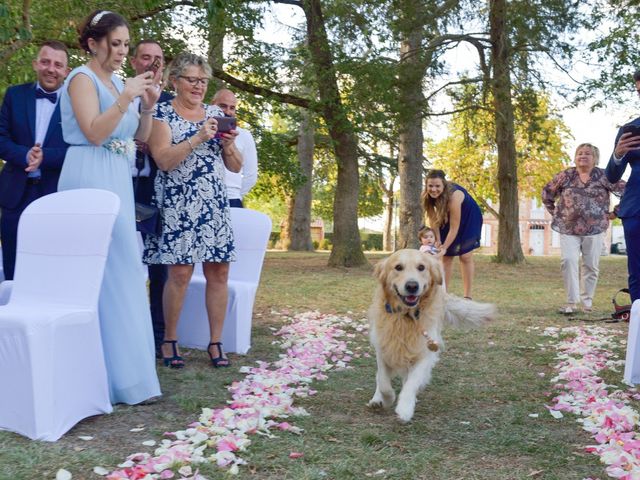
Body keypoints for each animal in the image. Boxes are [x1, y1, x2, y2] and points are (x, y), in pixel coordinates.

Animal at [364, 249, 496, 422]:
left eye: (421, 267)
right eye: (398, 267)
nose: (412, 286)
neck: (406, 317)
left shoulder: (425, 352)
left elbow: (412, 382)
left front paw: (405, 408)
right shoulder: (383, 347)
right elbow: (384, 381)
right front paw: (386, 399)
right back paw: (376, 399)